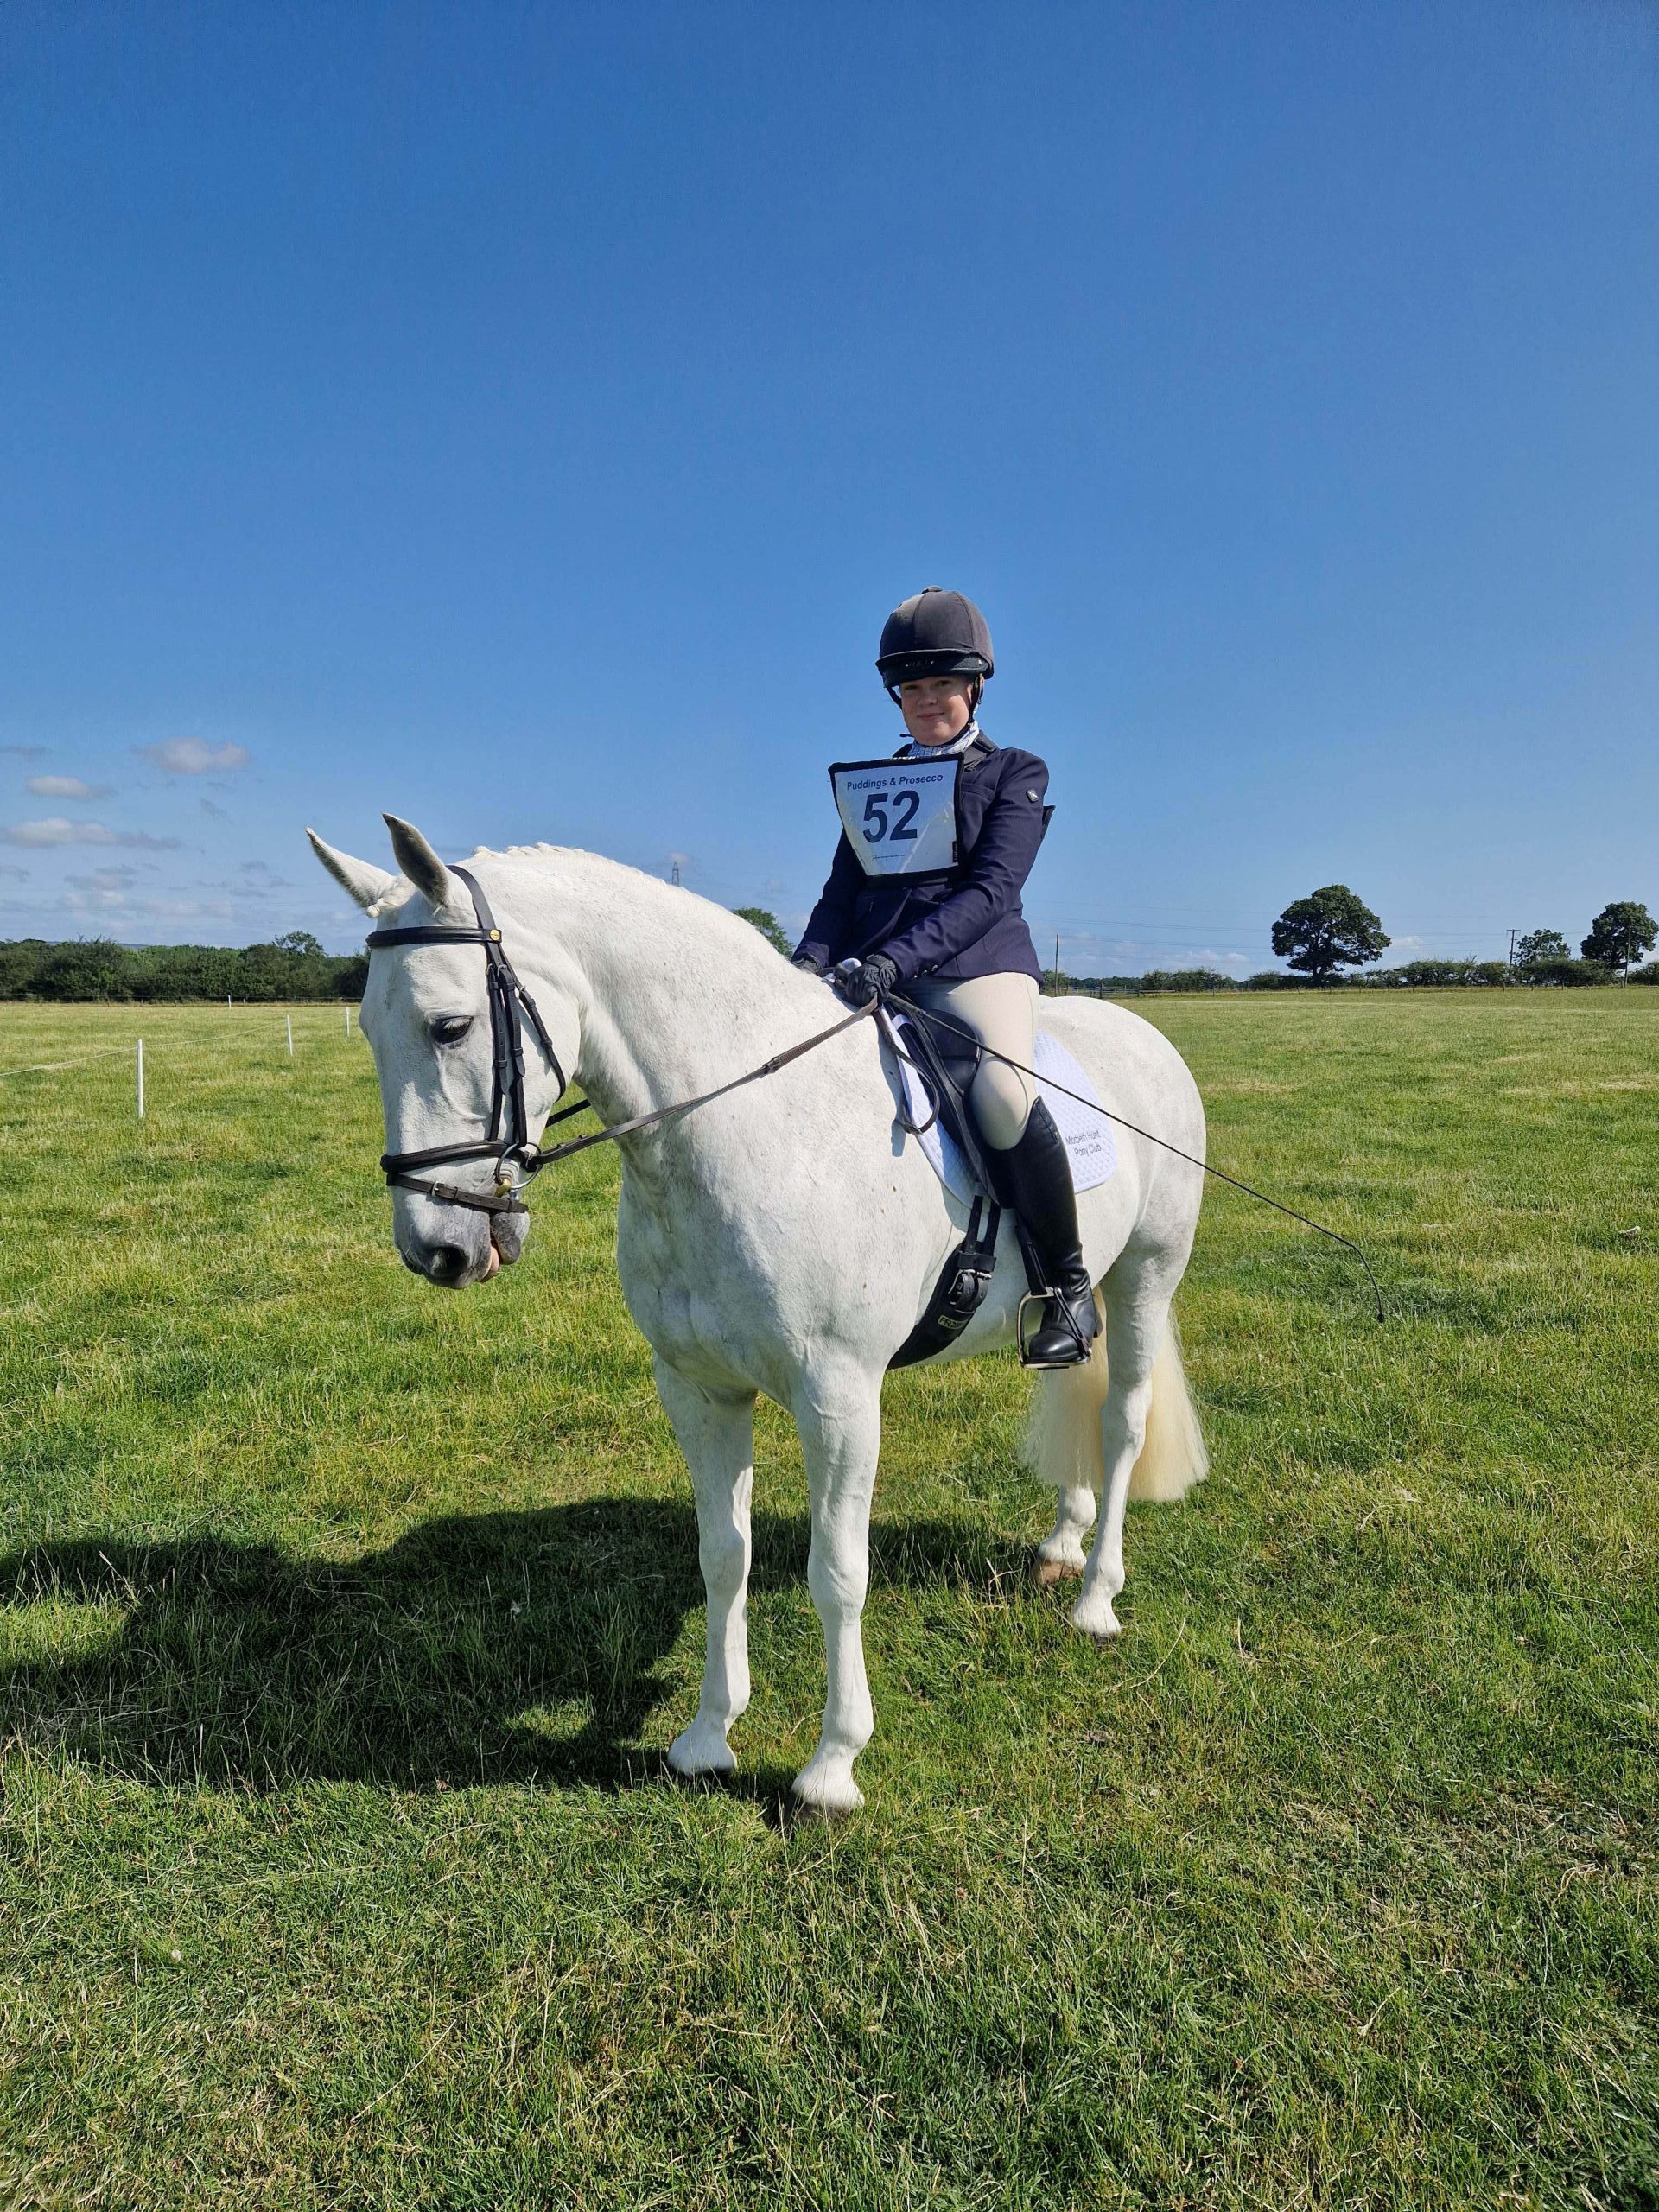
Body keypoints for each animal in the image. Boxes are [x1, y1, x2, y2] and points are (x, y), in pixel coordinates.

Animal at [308, 815, 1209, 1814]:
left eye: (451, 1026)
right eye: (366, 1030)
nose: (437, 1249)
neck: (745, 1126)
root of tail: (1143, 1033)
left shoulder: (840, 1399)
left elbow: (838, 1572)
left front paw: (832, 1765)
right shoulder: (698, 1389)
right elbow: (721, 1555)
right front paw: (707, 1736)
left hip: (1145, 1276)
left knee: (1123, 1420)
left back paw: (1096, 1598)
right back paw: (1061, 1542)